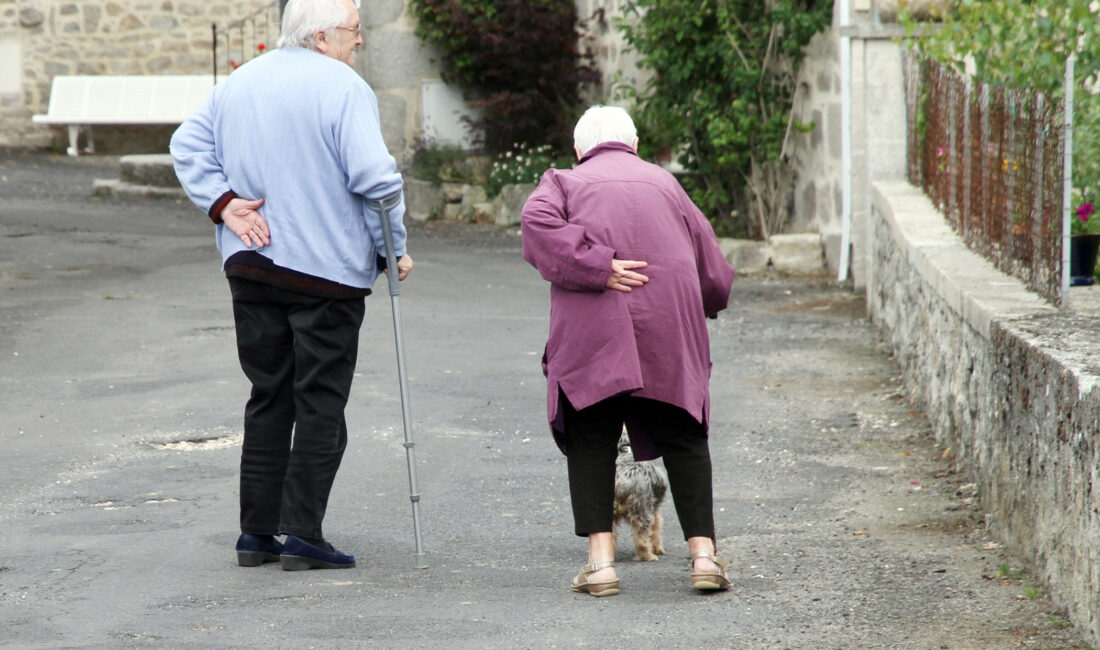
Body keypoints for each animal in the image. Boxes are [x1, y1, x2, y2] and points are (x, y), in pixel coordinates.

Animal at [611, 428, 668, 563]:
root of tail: (622, 482)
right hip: (641, 508)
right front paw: (658, 548)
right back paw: (648, 556)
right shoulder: (654, 510)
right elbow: (656, 530)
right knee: (642, 536)